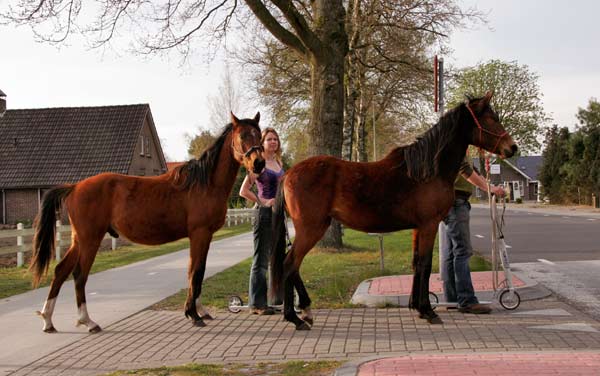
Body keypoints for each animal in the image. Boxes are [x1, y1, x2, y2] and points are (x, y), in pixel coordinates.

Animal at [30, 111, 264, 332]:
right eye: (242, 135)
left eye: (259, 134)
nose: (259, 163)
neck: (204, 184)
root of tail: (75, 187)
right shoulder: (200, 234)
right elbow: (195, 272)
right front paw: (193, 314)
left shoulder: (204, 237)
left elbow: (198, 271)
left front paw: (199, 310)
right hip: (90, 240)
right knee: (79, 275)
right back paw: (87, 321)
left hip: (79, 240)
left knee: (61, 271)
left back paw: (48, 321)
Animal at [270, 92, 516, 328]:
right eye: (491, 118)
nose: (512, 148)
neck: (427, 170)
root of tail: (289, 174)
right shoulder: (429, 225)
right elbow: (426, 264)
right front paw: (428, 311)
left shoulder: (418, 227)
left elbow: (416, 263)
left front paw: (417, 307)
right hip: (311, 228)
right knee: (289, 264)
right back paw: (295, 318)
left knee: (293, 266)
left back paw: (306, 311)